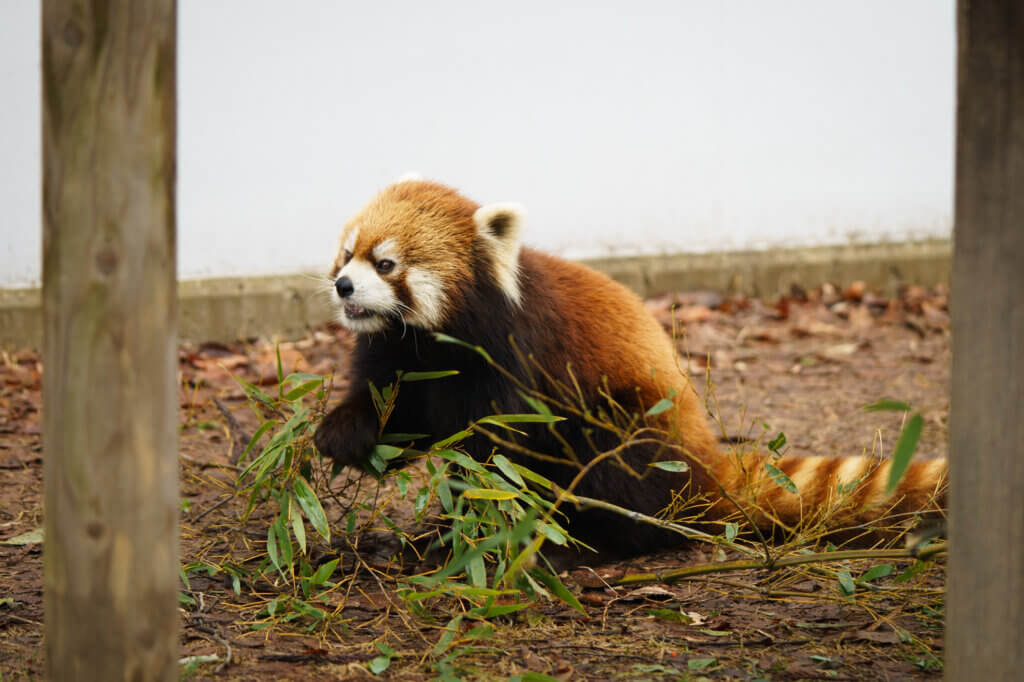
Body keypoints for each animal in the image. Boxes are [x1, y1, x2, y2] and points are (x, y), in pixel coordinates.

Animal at [313, 179, 950, 561]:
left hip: (633, 423)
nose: (343, 285)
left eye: (386, 263)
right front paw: (343, 434)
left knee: (611, 466)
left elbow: (498, 453)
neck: (434, 342)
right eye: (347, 253)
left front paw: (466, 535)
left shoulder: (510, 356)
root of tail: (706, 467)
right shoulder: (401, 356)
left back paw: (579, 543)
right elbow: (401, 413)